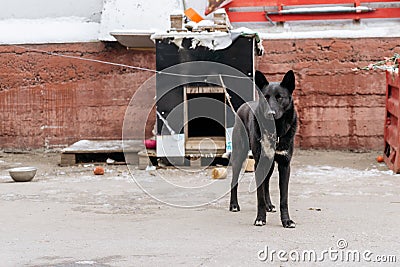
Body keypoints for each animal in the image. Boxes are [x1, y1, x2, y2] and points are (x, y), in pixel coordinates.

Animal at [228, 70, 296, 229]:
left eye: (279, 97)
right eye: (266, 97)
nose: (270, 113)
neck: (275, 130)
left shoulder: (285, 165)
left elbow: (283, 198)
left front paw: (286, 221)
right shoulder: (259, 162)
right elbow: (259, 196)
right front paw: (260, 218)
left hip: (269, 165)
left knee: (266, 183)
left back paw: (269, 205)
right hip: (239, 156)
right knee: (234, 181)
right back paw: (234, 205)